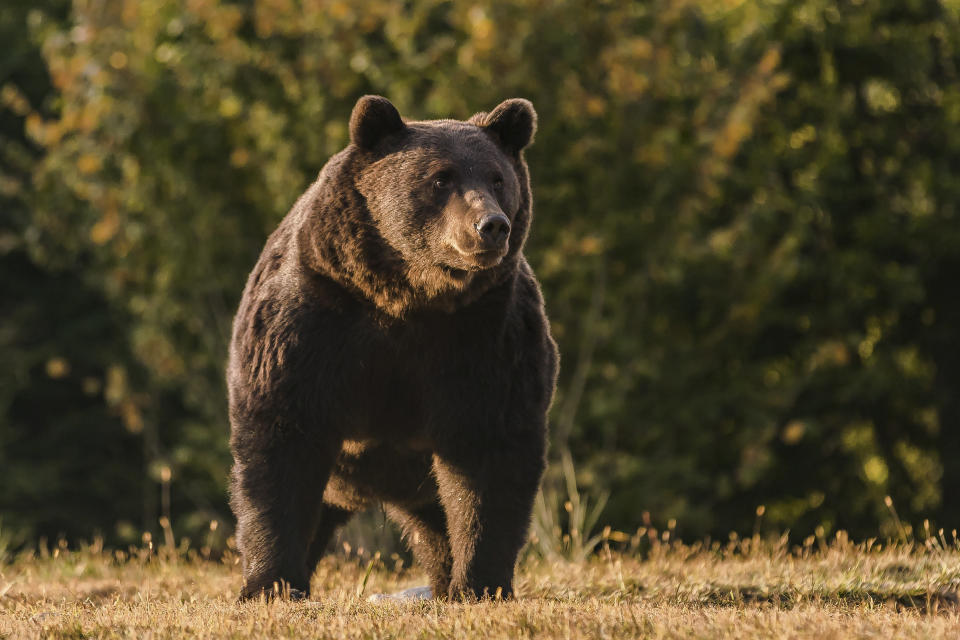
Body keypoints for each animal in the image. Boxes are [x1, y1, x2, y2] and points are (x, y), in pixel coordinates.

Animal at [228, 94, 560, 600]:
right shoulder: (313, 319)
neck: (408, 296)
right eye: (440, 177)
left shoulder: (486, 335)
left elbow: (489, 452)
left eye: (498, 178)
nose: (491, 226)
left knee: (438, 524)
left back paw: (444, 582)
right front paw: (271, 583)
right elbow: (281, 440)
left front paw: (479, 583)